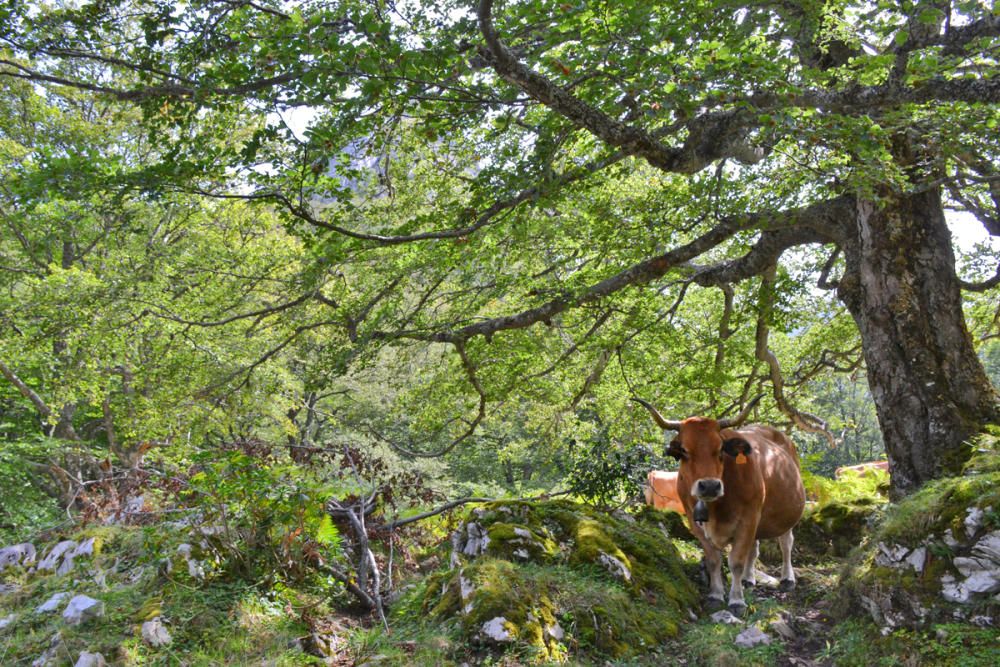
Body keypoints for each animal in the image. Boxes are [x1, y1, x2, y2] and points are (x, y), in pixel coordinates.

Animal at [636, 396, 808, 616]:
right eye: (684, 450)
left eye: (720, 449)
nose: (709, 485)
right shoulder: (694, 521)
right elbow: (714, 560)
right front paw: (716, 595)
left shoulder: (748, 519)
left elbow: (736, 561)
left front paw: (736, 600)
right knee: (754, 548)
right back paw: (748, 579)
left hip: (786, 515)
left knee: (786, 543)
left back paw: (787, 579)